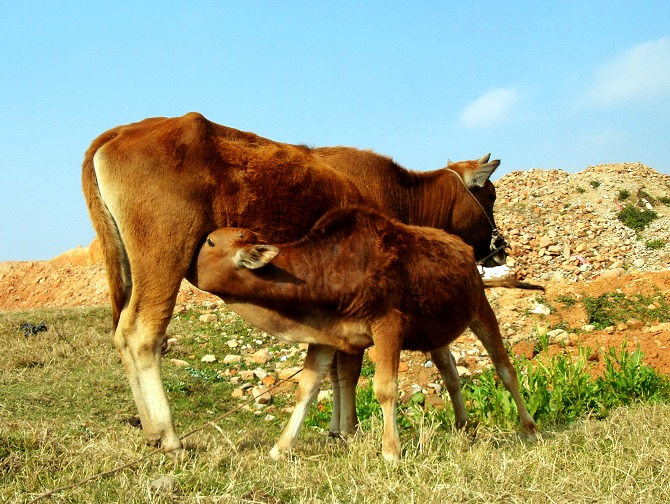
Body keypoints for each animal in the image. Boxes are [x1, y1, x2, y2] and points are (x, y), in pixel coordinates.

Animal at [82, 112, 504, 454]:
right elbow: (349, 369)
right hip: (164, 256)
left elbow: (334, 368)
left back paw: (151, 431)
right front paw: (348, 430)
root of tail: (119, 131)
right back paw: (169, 437)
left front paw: (336, 430)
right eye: (491, 193)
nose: (500, 249)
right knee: (143, 334)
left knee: (121, 334)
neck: (402, 193)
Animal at [189, 205, 540, 460]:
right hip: (436, 334)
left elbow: (385, 388)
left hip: (481, 309)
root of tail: (465, 250)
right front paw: (281, 447)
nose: (187, 264)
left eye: (210, 242)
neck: (332, 268)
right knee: (451, 375)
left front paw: (391, 451)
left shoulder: (388, 325)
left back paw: (530, 428)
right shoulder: (326, 336)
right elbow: (307, 389)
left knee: (505, 369)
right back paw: (463, 425)